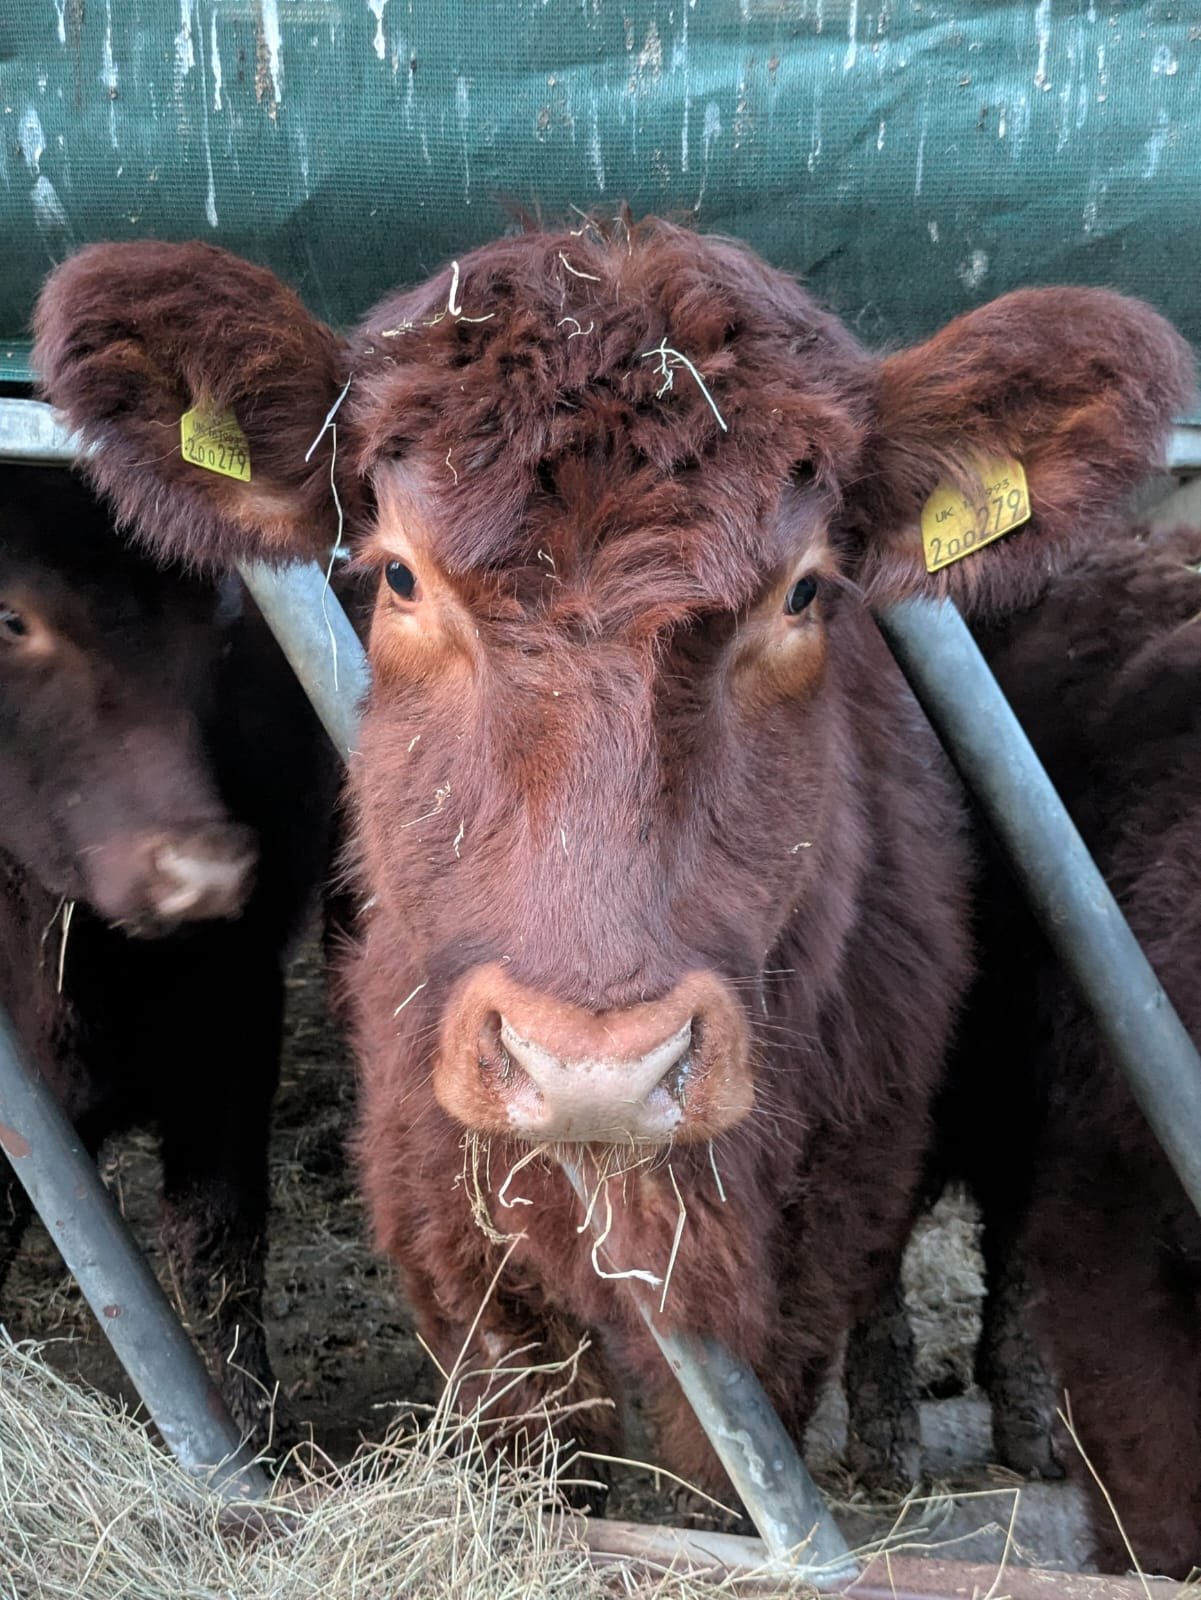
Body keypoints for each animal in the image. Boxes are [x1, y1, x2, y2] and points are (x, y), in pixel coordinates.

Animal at [0, 466, 334, 1457]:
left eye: (221, 615)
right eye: (8, 615)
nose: (203, 870)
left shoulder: (235, 1012)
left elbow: (217, 1238)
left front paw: (254, 1433)